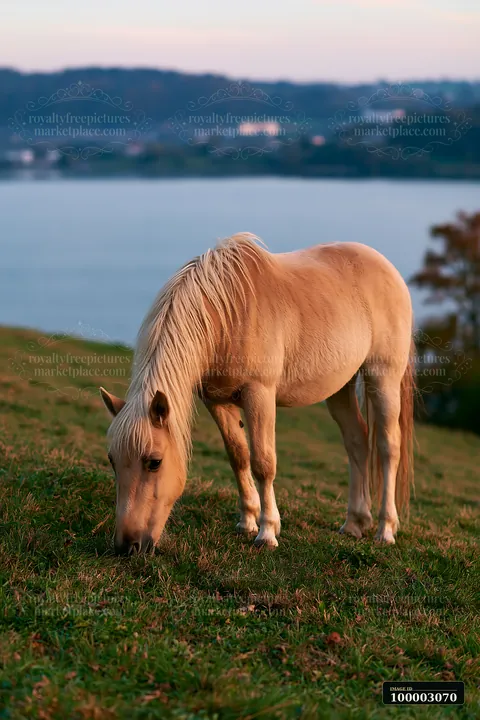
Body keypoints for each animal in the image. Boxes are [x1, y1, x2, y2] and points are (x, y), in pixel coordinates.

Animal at [100, 233, 415, 555]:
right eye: (112, 459)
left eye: (154, 462)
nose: (127, 545)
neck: (227, 315)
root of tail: (386, 268)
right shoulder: (216, 400)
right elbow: (238, 455)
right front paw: (248, 521)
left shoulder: (259, 395)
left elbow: (263, 462)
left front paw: (267, 532)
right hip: (342, 386)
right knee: (357, 441)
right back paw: (354, 523)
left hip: (383, 377)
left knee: (388, 446)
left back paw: (386, 528)